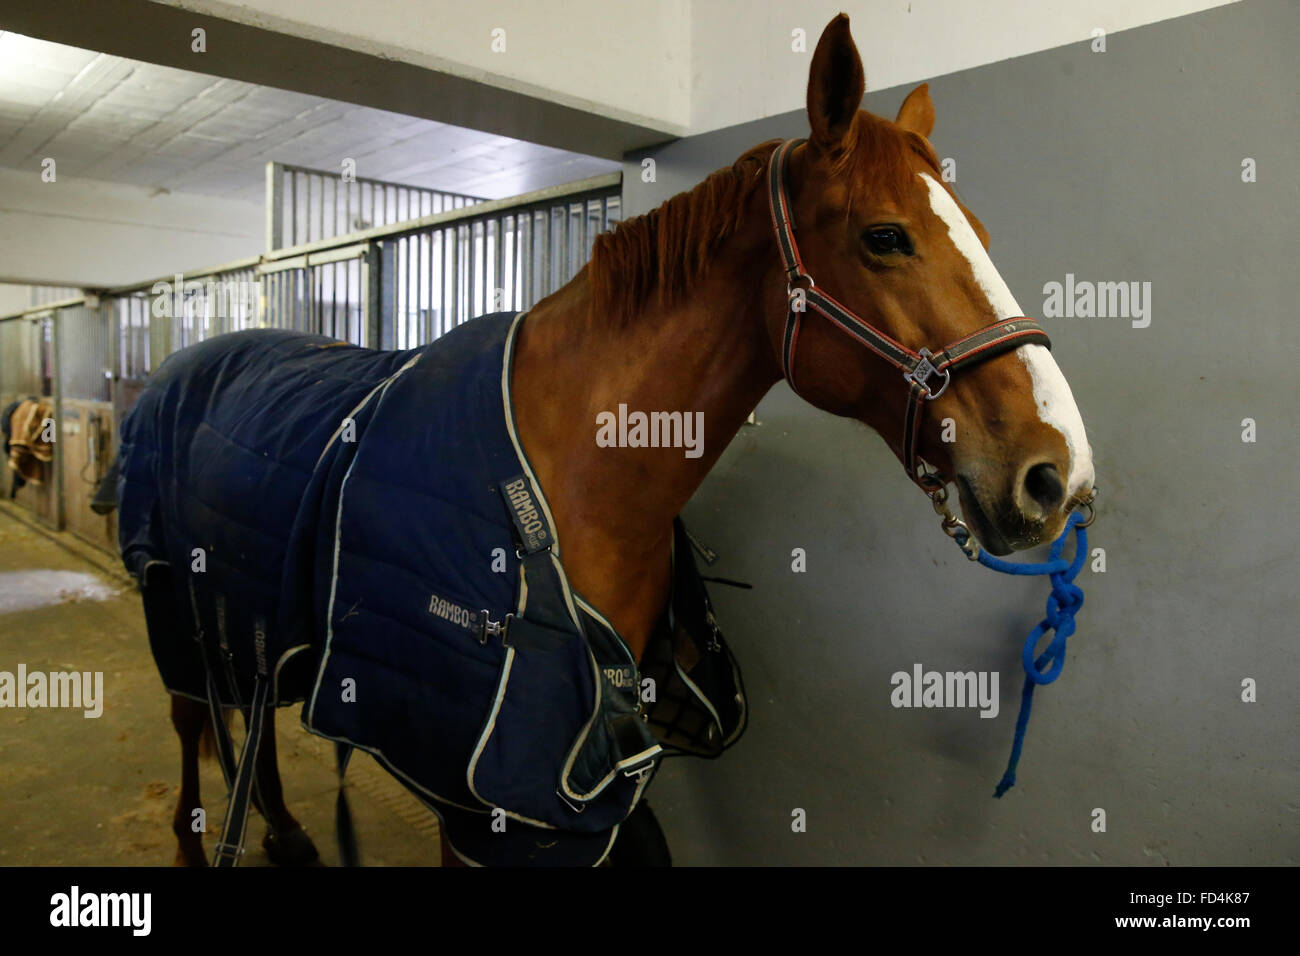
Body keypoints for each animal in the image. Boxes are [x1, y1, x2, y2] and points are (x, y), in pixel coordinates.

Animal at [110, 13, 1093, 867]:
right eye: (885, 236)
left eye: (981, 233)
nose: (1060, 475)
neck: (578, 482)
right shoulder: (477, 804)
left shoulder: (582, 805)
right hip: (174, 608)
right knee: (195, 721)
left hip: (250, 616)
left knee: (255, 724)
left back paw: (281, 829)